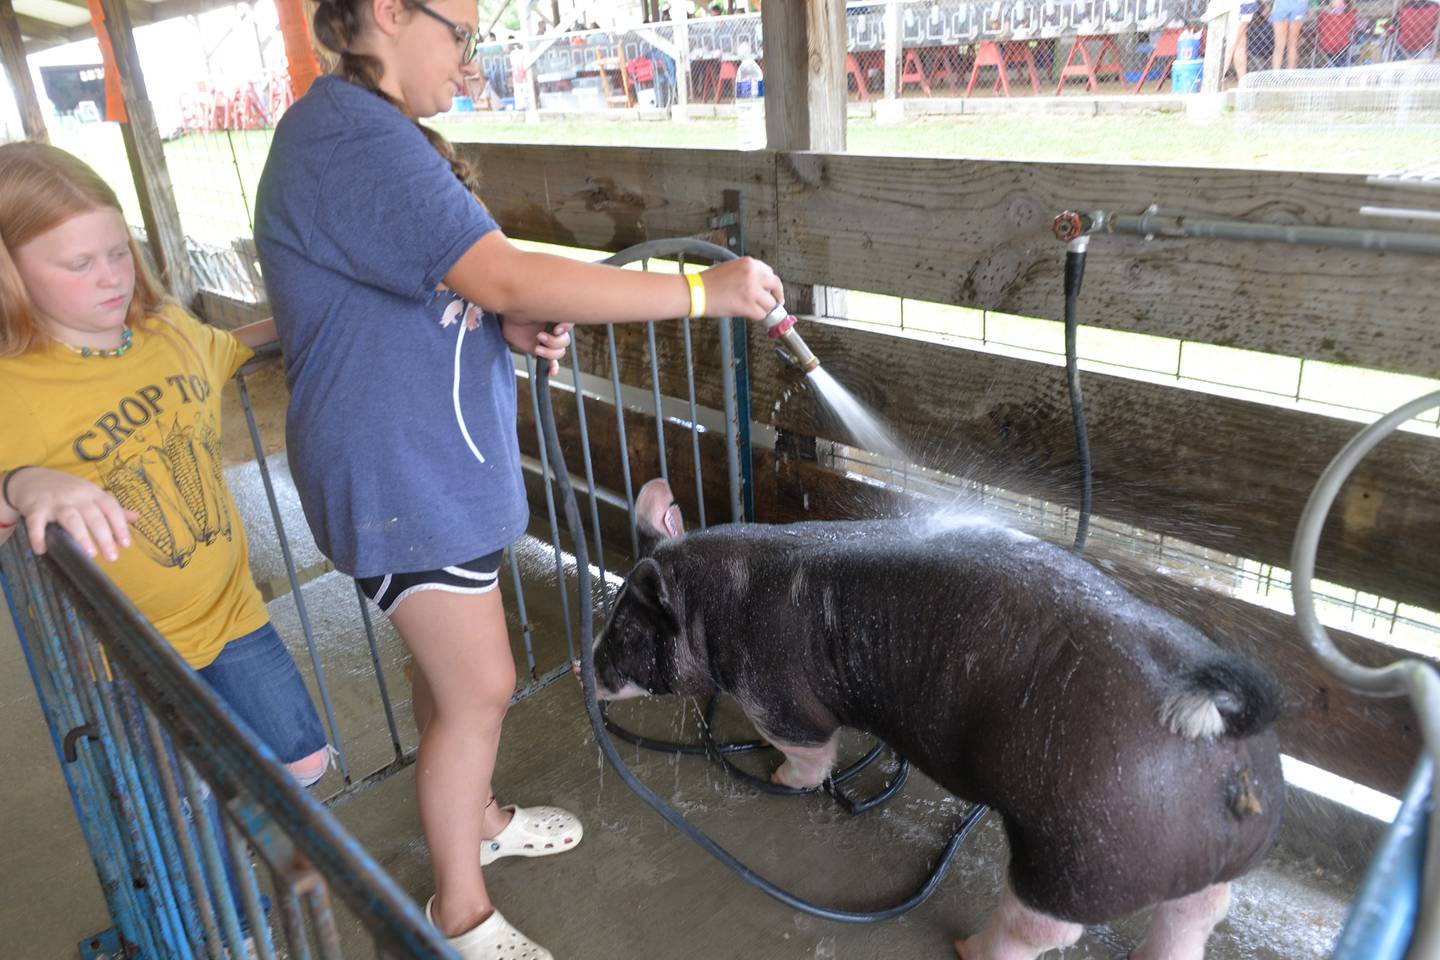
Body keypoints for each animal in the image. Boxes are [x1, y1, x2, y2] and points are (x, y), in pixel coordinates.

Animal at [590, 480, 1290, 960]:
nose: (583, 669)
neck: (712, 607)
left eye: (624, 631)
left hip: (1082, 849)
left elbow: (810, 751)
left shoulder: (779, 697)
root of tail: (1226, 737)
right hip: (1191, 857)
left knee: (1045, 925)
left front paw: (779, 778)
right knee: (1199, 911)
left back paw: (969, 950)